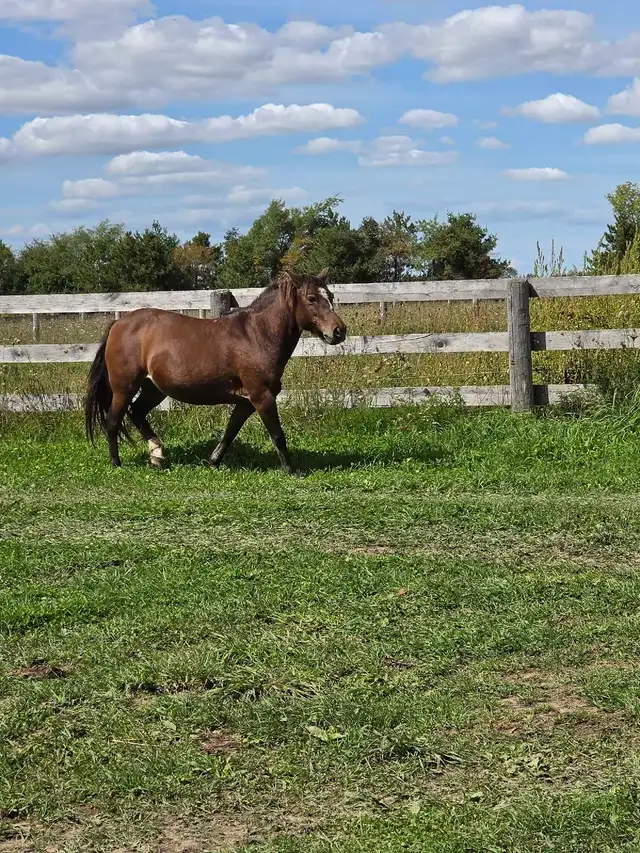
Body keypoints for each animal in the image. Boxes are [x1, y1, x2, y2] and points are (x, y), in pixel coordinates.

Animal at [84, 269, 347, 474]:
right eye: (311, 298)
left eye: (331, 296)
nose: (339, 331)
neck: (257, 335)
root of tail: (118, 323)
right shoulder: (261, 396)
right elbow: (277, 435)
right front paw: (292, 471)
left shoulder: (246, 401)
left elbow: (230, 432)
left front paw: (212, 462)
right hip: (124, 388)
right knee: (113, 421)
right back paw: (116, 463)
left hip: (154, 388)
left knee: (136, 412)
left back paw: (157, 456)